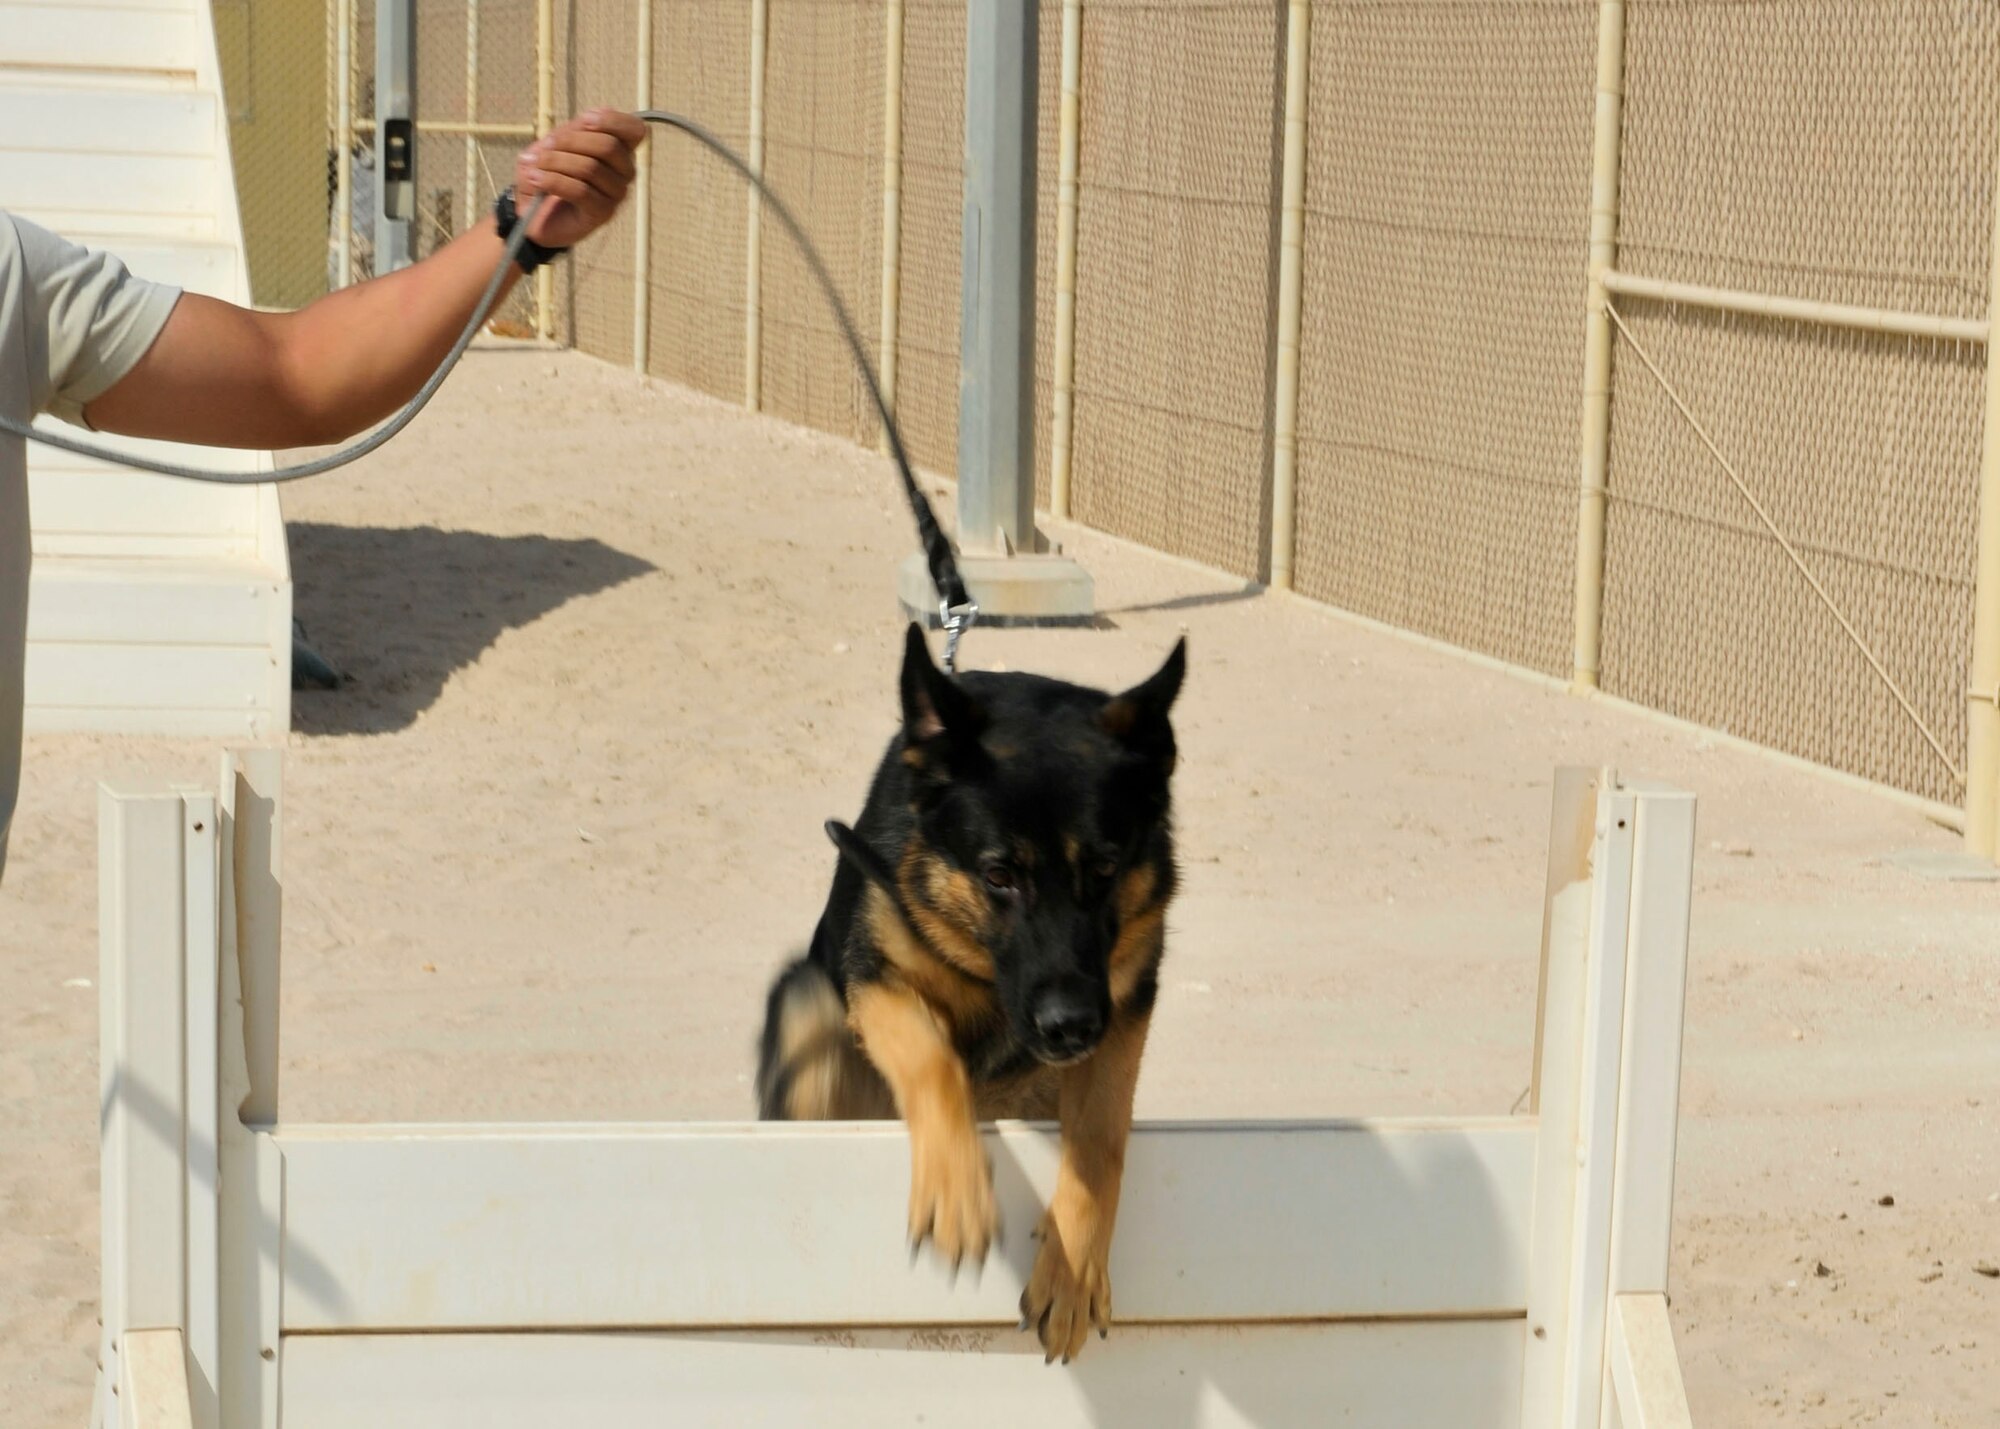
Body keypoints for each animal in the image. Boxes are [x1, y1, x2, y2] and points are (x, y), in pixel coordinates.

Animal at [756, 624, 1176, 1360]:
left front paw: (1072, 1271)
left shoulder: (1122, 1015)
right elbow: (933, 1059)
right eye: (998, 874)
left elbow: (1100, 1140)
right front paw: (957, 1194)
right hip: (806, 1004)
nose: (1070, 1026)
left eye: (1105, 866)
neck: (985, 972)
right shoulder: (880, 983)